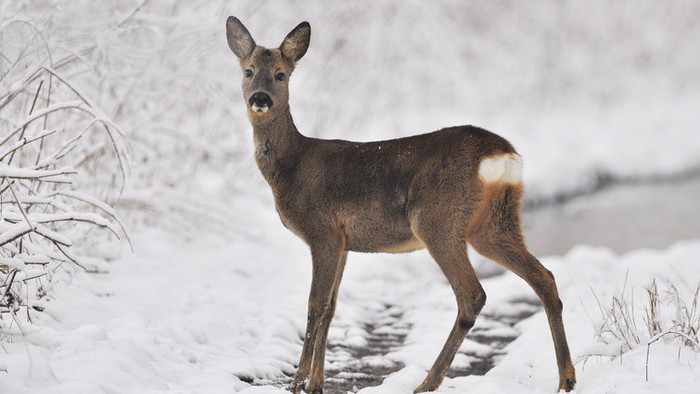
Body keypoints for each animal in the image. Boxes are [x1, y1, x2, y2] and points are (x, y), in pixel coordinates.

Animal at [227, 16, 576, 392]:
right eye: (248, 71)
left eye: (280, 74)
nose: (260, 98)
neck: (292, 165)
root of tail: (503, 154)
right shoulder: (344, 242)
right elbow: (332, 308)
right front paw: (317, 383)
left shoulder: (323, 231)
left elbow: (315, 306)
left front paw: (298, 383)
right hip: (496, 221)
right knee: (544, 278)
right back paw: (566, 378)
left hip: (437, 219)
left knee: (473, 294)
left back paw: (427, 383)